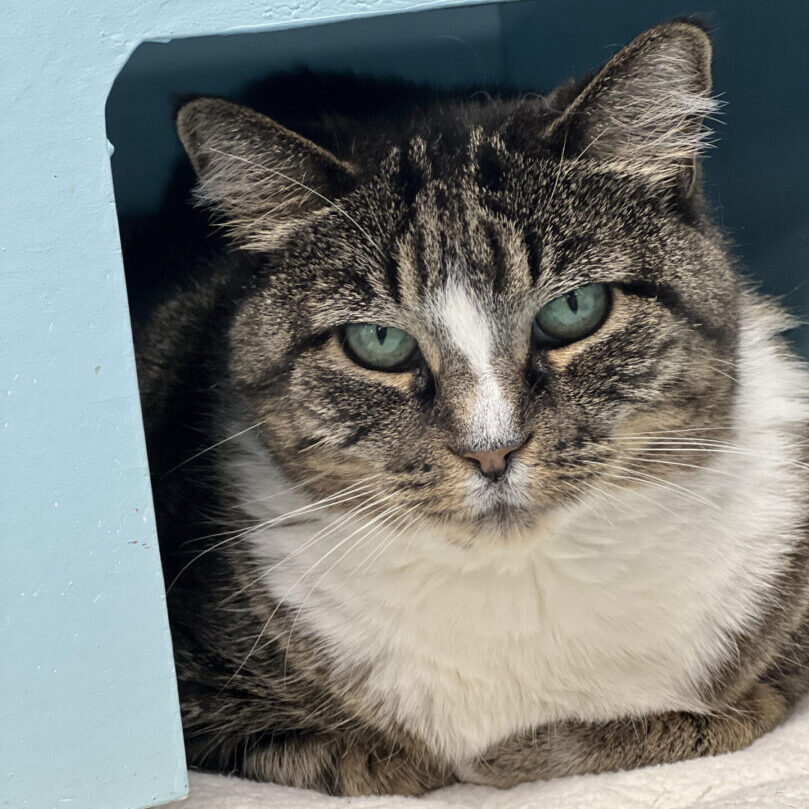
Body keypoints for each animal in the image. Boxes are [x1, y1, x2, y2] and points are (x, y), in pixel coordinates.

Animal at [134, 19, 809, 796]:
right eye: (378, 341)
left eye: (576, 308)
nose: (492, 449)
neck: (524, 581)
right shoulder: (202, 703)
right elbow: (378, 762)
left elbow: (714, 714)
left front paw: (530, 749)